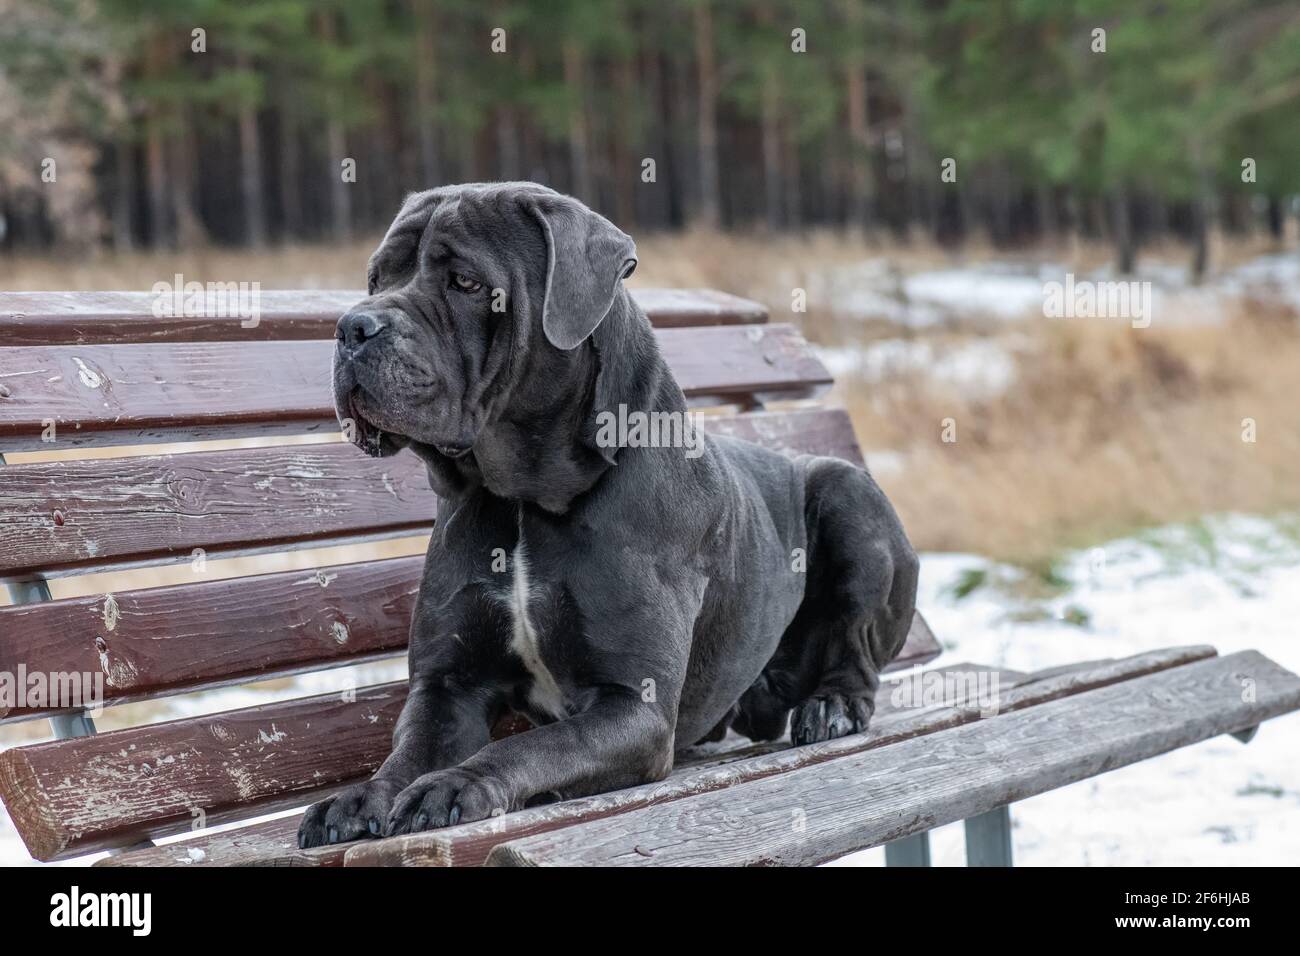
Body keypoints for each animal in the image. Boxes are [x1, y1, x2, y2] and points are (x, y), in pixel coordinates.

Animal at [299, 179, 920, 842]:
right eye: (376, 278)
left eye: (464, 281)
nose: (352, 327)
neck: (521, 500)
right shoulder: (448, 687)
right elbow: (410, 749)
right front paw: (360, 797)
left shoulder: (633, 706)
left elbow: (532, 746)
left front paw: (457, 783)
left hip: (849, 494)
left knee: (855, 650)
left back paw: (832, 706)